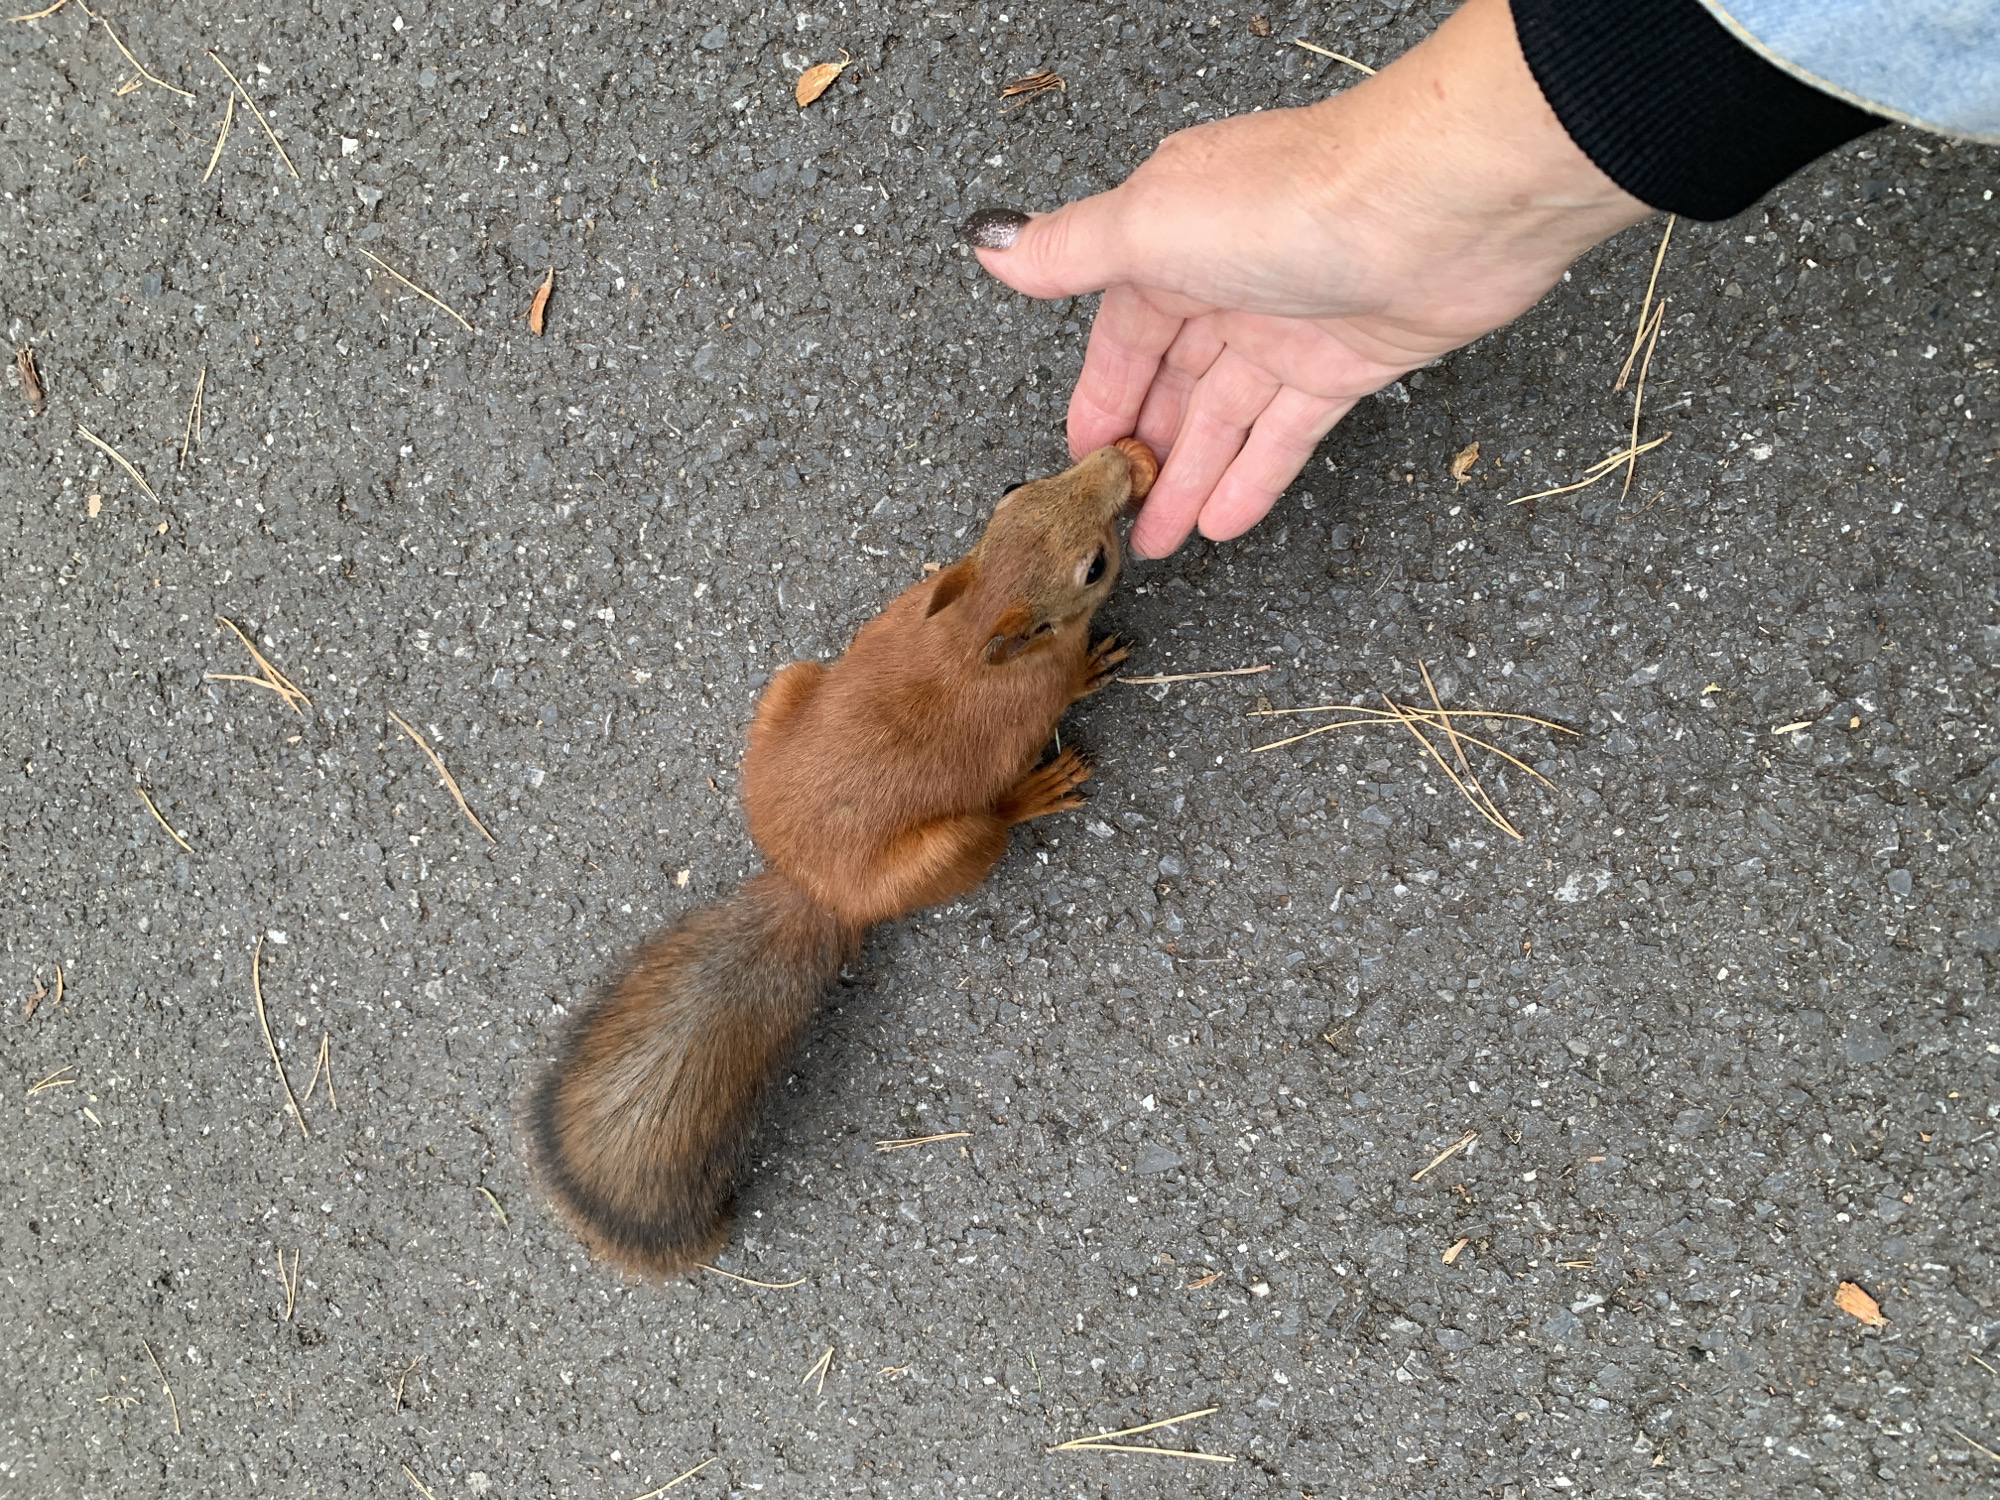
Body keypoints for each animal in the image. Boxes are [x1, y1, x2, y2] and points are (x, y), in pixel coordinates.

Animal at [528, 437, 1159, 1276]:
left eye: (1016, 485)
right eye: (1096, 566)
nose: (1126, 454)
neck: (975, 621)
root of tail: (812, 884)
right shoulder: (1040, 687)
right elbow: (1070, 680)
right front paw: (1092, 663)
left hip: (790, 684)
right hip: (961, 844)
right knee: (992, 823)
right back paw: (1036, 791)